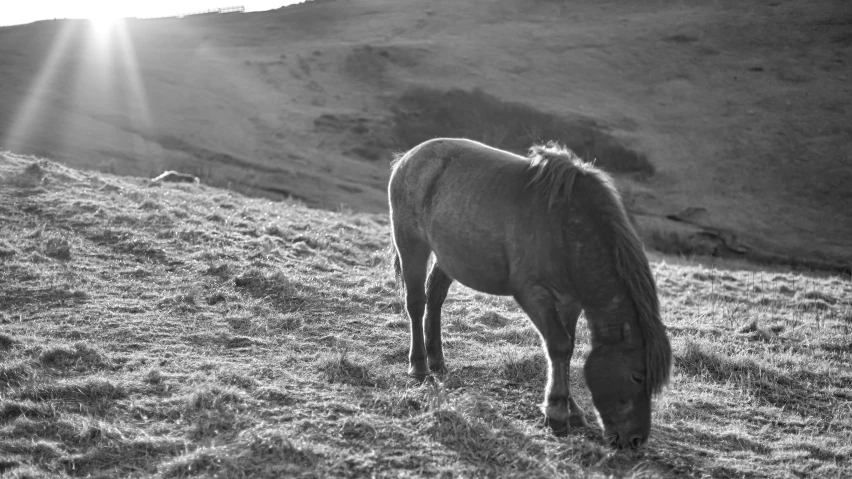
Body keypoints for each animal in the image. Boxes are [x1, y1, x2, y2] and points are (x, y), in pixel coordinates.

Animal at [388, 137, 672, 448]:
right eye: (637, 376)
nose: (636, 440)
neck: (567, 227)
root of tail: (408, 157)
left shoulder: (570, 301)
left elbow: (568, 347)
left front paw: (572, 411)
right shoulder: (533, 294)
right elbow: (559, 345)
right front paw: (557, 413)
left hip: (448, 257)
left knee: (435, 297)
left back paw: (437, 361)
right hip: (412, 244)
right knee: (416, 303)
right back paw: (419, 366)